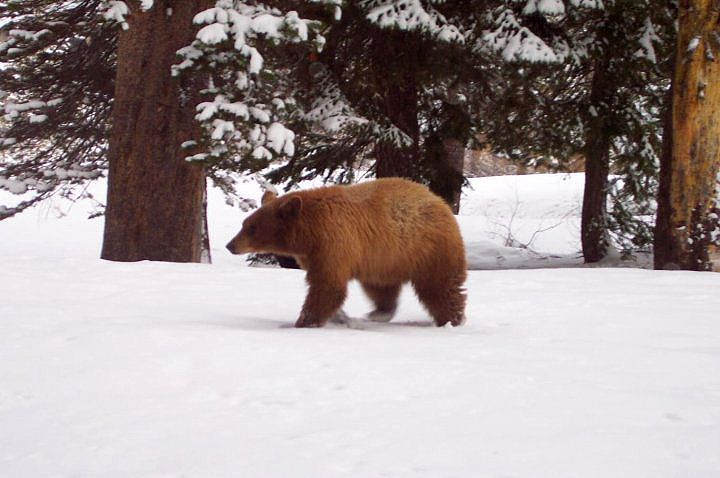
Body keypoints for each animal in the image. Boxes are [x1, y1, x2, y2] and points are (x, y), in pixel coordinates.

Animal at [226, 178, 467, 328]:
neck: (309, 233)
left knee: (441, 288)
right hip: (384, 259)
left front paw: (304, 321)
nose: (231, 245)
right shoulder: (314, 254)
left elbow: (328, 285)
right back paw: (379, 313)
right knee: (381, 288)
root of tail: (441, 202)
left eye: (252, 228)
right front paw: (338, 317)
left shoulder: (333, 242)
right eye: (244, 223)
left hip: (430, 250)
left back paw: (452, 320)